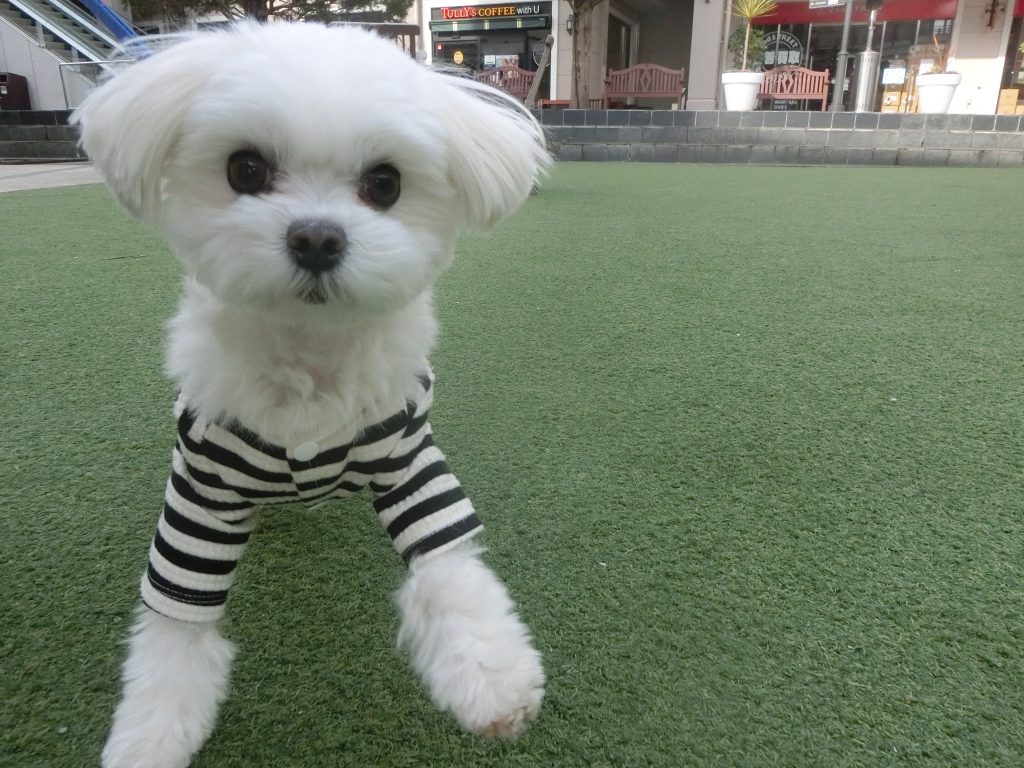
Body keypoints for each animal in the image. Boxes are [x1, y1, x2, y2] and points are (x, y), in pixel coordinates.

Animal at [73, 21, 550, 768]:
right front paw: (149, 732)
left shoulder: (411, 461)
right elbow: (175, 627)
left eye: (384, 183)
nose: (318, 236)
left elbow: (450, 569)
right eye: (245, 170)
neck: (310, 360)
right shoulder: (201, 493)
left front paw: (489, 674)